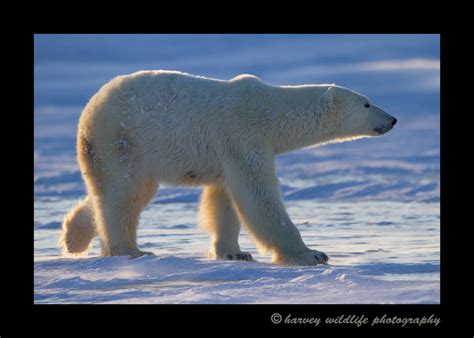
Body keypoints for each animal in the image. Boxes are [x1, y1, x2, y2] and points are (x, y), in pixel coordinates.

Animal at [61, 70, 398, 266]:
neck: (270, 111)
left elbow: (224, 198)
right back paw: (129, 250)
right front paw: (311, 253)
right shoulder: (242, 133)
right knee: (124, 194)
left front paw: (234, 252)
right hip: (121, 139)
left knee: (126, 191)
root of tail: (88, 111)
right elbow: (258, 195)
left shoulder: (227, 151)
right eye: (367, 103)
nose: (393, 119)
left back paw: (73, 237)